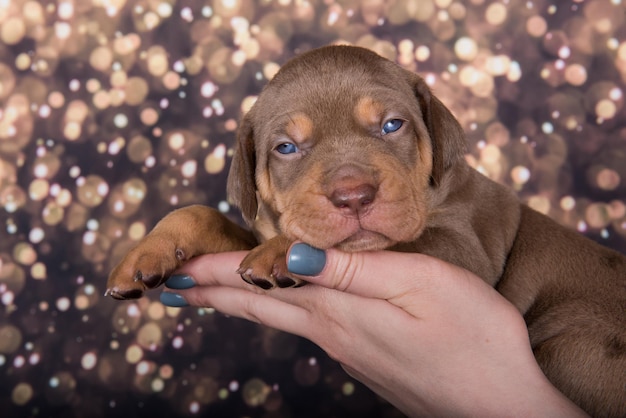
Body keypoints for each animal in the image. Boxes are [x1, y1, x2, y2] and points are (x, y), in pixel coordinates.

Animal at [105, 45, 620, 418]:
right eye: (286, 148)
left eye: (392, 125)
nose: (353, 196)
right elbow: (200, 214)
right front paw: (146, 253)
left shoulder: (466, 248)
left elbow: (404, 241)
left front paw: (283, 250)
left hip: (575, 342)